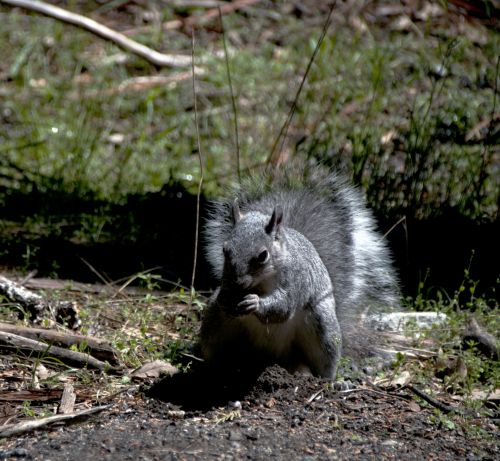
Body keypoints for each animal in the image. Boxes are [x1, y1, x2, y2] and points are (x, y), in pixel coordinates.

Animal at [198, 165, 398, 378]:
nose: (237, 283)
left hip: (322, 326)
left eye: (263, 255)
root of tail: (270, 356)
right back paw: (218, 368)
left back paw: (324, 379)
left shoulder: (297, 280)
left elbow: (283, 306)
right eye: (225, 249)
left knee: (324, 360)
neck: (260, 283)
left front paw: (255, 303)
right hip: (215, 325)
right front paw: (225, 297)